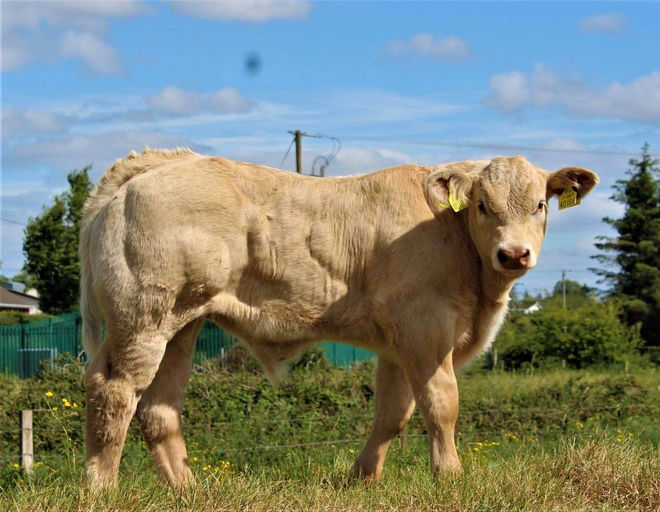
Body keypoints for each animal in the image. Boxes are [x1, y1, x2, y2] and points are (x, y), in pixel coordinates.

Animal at [79, 149, 598, 488]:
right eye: (484, 205)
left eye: (540, 204)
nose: (514, 253)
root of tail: (160, 161)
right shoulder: (425, 327)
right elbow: (440, 404)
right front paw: (450, 476)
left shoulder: (397, 343)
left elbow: (392, 415)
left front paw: (361, 479)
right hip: (143, 319)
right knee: (115, 392)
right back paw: (102, 489)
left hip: (182, 324)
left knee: (159, 408)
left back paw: (187, 490)